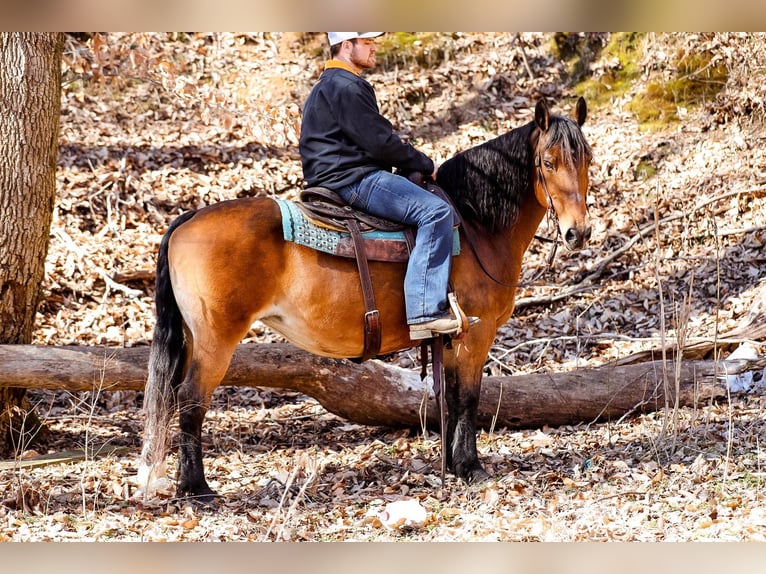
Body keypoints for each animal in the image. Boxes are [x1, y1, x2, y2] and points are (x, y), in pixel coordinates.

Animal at [136, 97, 592, 502]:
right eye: (548, 163)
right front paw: (470, 467)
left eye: (586, 159)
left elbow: (449, 398)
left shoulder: (451, 342)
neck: (475, 224)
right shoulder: (473, 337)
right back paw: (197, 488)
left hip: (195, 337)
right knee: (191, 399)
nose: (579, 233)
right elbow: (468, 398)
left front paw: (451, 463)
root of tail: (188, 219)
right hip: (216, 339)